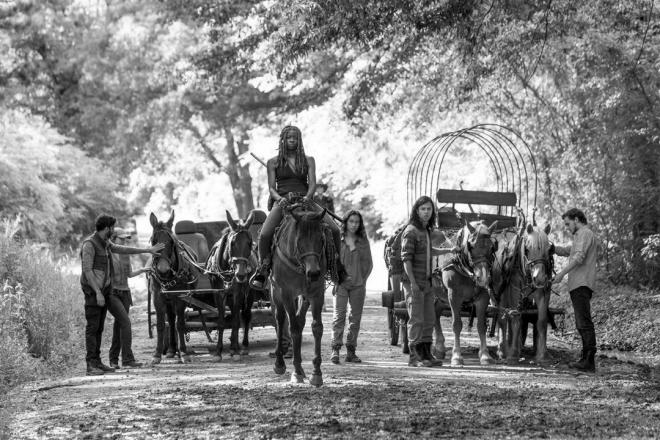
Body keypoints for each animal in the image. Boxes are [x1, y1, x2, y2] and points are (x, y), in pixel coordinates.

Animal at [149, 211, 199, 362]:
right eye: (153, 241)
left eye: (171, 242)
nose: (163, 268)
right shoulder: (158, 297)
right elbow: (161, 325)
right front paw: (157, 354)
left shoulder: (181, 297)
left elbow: (180, 324)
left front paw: (183, 352)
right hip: (168, 301)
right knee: (170, 321)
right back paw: (171, 349)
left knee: (175, 321)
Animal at [206, 211, 258, 360]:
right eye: (232, 243)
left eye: (249, 243)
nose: (241, 274)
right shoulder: (218, 292)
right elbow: (221, 321)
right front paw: (218, 351)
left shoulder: (238, 292)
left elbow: (235, 321)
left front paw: (234, 349)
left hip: (249, 292)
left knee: (245, 315)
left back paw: (242, 346)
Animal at [270, 205, 328, 384]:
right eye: (299, 240)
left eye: (321, 239)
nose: (314, 272)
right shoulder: (287, 293)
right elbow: (293, 327)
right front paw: (295, 371)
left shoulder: (317, 293)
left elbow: (317, 327)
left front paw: (316, 373)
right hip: (276, 292)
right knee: (281, 319)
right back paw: (280, 363)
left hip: (304, 296)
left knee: (300, 320)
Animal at [440, 218, 498, 366]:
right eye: (470, 245)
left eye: (492, 247)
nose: (483, 277)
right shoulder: (453, 295)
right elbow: (456, 325)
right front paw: (456, 356)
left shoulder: (483, 296)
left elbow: (481, 326)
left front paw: (485, 355)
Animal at [492, 223, 556, 364]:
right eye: (527, 249)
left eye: (549, 250)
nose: (539, 278)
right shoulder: (515, 290)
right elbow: (516, 319)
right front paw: (513, 354)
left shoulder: (543, 292)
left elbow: (541, 321)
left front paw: (542, 355)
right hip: (500, 293)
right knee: (502, 319)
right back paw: (502, 350)